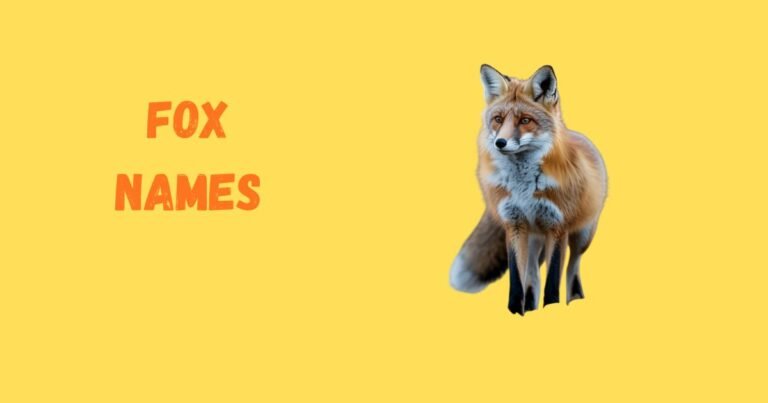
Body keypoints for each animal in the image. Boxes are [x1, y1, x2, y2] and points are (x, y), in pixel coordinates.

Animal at [449, 64, 607, 315]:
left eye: (525, 120)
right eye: (498, 119)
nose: (500, 143)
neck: (523, 186)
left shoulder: (558, 227)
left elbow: (553, 277)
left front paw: (552, 307)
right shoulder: (513, 225)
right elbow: (517, 277)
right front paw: (516, 310)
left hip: (582, 235)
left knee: (572, 266)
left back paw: (574, 298)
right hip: (533, 240)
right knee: (533, 275)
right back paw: (532, 306)